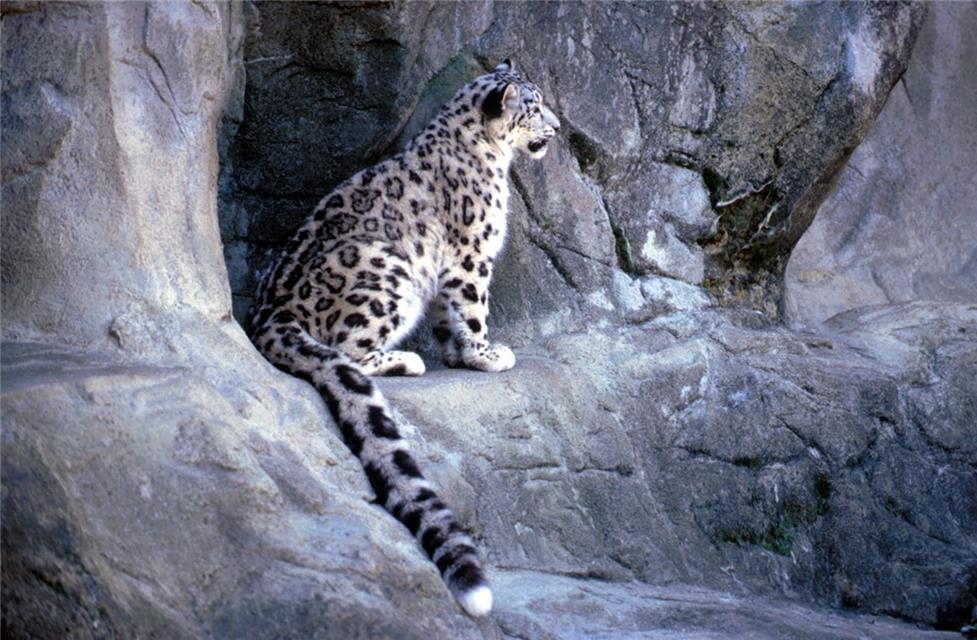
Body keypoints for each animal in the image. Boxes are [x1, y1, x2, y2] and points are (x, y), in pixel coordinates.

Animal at [248, 60, 560, 617]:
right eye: (534, 106)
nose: (559, 128)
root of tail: (268, 312)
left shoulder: (443, 273)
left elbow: (448, 315)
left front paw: (458, 354)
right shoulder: (471, 253)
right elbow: (472, 307)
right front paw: (486, 353)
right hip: (386, 273)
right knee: (347, 349)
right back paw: (404, 361)